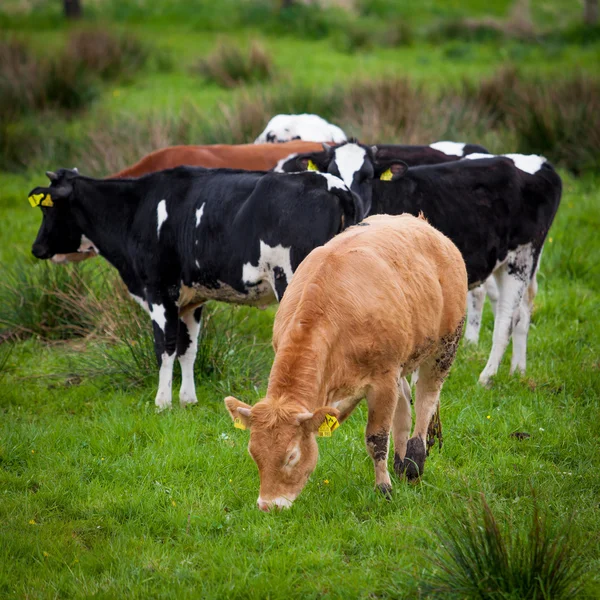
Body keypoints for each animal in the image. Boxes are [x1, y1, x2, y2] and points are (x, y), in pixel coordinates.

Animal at [225, 213, 468, 508]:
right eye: (254, 454)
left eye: (291, 456)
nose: (268, 506)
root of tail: (422, 224)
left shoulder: (382, 380)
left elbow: (376, 438)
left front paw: (384, 488)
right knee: (404, 406)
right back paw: (400, 465)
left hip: (445, 346)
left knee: (426, 399)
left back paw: (413, 462)